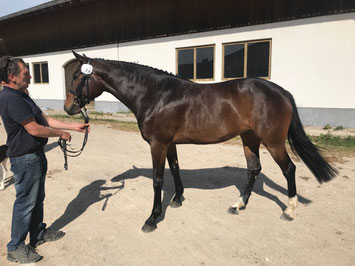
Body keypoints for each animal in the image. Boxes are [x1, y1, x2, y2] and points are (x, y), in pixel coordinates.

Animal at [64, 51, 340, 232]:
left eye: (77, 75)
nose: (69, 108)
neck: (155, 94)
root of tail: (281, 91)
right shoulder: (170, 144)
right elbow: (175, 169)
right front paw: (177, 199)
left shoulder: (158, 144)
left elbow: (157, 180)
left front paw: (152, 219)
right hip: (249, 139)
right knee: (254, 169)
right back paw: (238, 205)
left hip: (273, 142)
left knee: (289, 169)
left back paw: (289, 210)